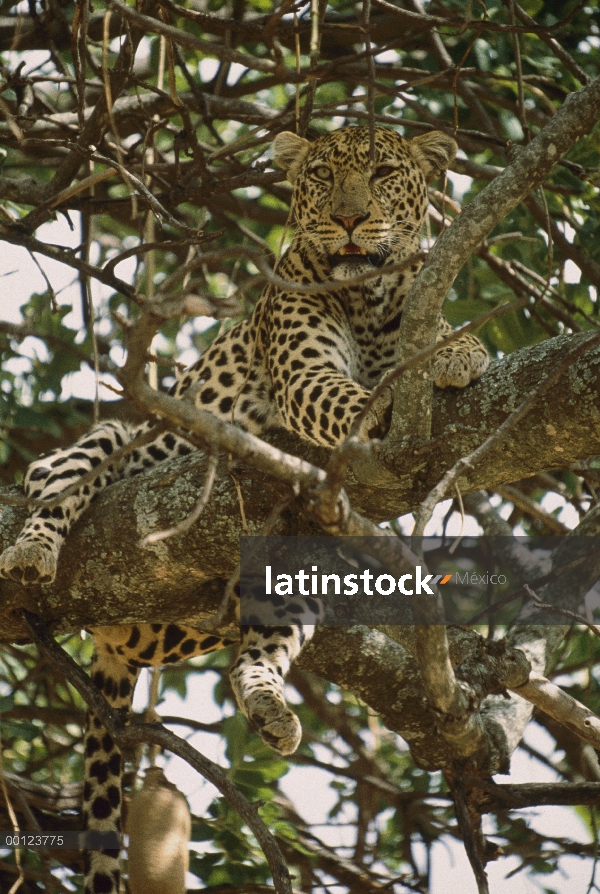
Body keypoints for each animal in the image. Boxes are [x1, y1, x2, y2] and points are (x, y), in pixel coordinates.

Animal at [0, 126, 488, 894]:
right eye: (321, 176)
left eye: (384, 172)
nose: (350, 219)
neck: (370, 299)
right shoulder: (306, 373)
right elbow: (353, 402)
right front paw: (384, 411)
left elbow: (442, 338)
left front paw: (461, 351)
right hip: (128, 440)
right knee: (61, 474)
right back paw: (34, 546)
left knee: (257, 649)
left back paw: (267, 704)